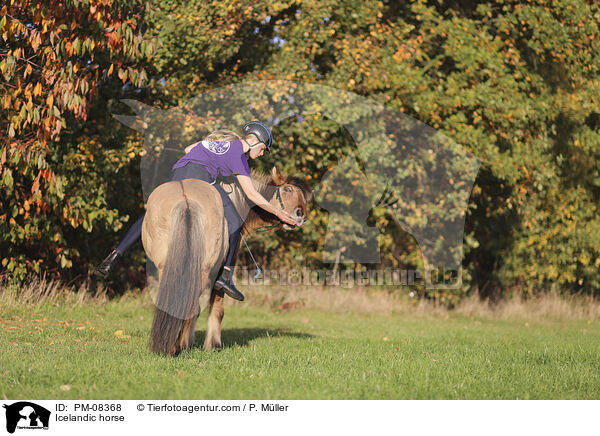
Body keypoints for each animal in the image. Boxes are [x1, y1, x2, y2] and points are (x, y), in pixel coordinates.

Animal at [141, 166, 314, 354]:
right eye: (288, 189)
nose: (301, 216)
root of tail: (186, 200)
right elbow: (217, 307)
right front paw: (213, 344)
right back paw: (180, 346)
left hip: (167, 267)